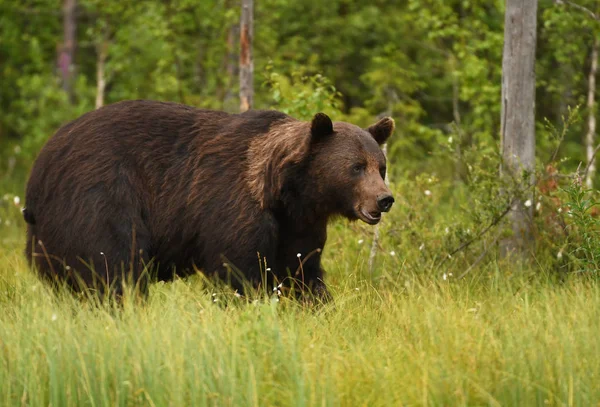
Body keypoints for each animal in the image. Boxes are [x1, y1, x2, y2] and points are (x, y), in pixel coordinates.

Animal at [22, 100, 394, 302]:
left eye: (381, 167)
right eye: (356, 167)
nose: (384, 199)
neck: (284, 190)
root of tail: (38, 171)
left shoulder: (298, 225)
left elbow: (302, 271)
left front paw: (318, 304)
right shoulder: (231, 205)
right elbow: (238, 271)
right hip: (99, 195)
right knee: (114, 265)